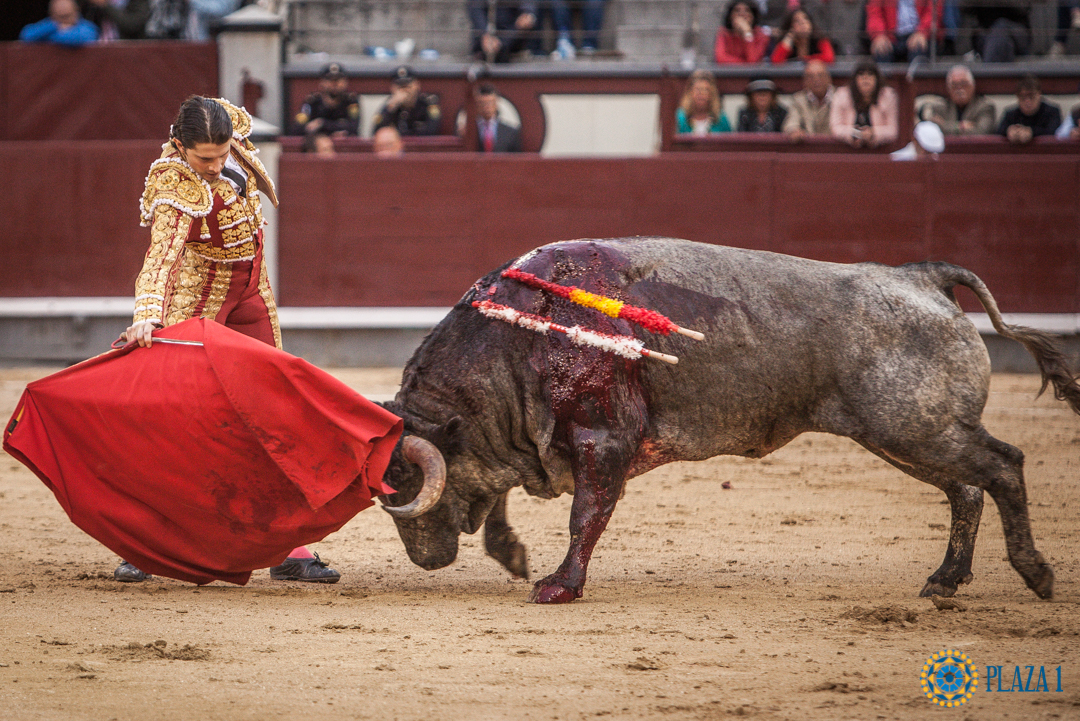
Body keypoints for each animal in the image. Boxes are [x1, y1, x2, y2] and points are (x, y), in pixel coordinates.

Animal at [376, 238, 1080, 604]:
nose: (426, 561)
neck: (518, 343)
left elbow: (586, 515)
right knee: (966, 488)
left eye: (406, 487)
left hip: (912, 427)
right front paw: (516, 557)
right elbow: (502, 498)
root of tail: (921, 277)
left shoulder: (604, 441)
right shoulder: (527, 441)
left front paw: (558, 586)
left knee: (1003, 466)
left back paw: (1036, 574)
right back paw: (945, 580)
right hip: (907, 436)